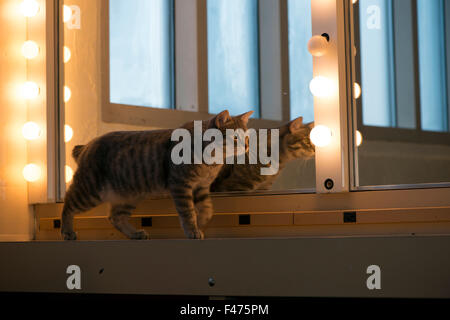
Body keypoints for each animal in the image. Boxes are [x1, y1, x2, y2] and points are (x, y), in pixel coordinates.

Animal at [60, 110, 253, 240]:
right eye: (235, 137)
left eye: (247, 137)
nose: (246, 146)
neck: (212, 162)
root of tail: (88, 145)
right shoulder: (181, 185)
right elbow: (188, 212)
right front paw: (192, 230)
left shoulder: (201, 187)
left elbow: (207, 208)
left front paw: (202, 221)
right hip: (89, 191)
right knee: (68, 203)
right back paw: (67, 231)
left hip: (128, 197)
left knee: (115, 217)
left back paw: (135, 233)